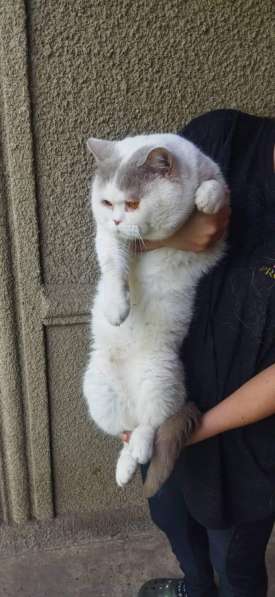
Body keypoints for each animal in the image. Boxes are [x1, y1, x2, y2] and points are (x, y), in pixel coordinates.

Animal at [83, 133, 229, 496]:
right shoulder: (108, 238)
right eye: (106, 203)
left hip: (159, 377)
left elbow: (218, 187)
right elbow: (114, 267)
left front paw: (206, 197)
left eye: (133, 204)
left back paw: (141, 449)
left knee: (151, 425)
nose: (117, 219)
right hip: (98, 393)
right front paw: (116, 307)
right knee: (128, 430)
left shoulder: (220, 214)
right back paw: (124, 468)